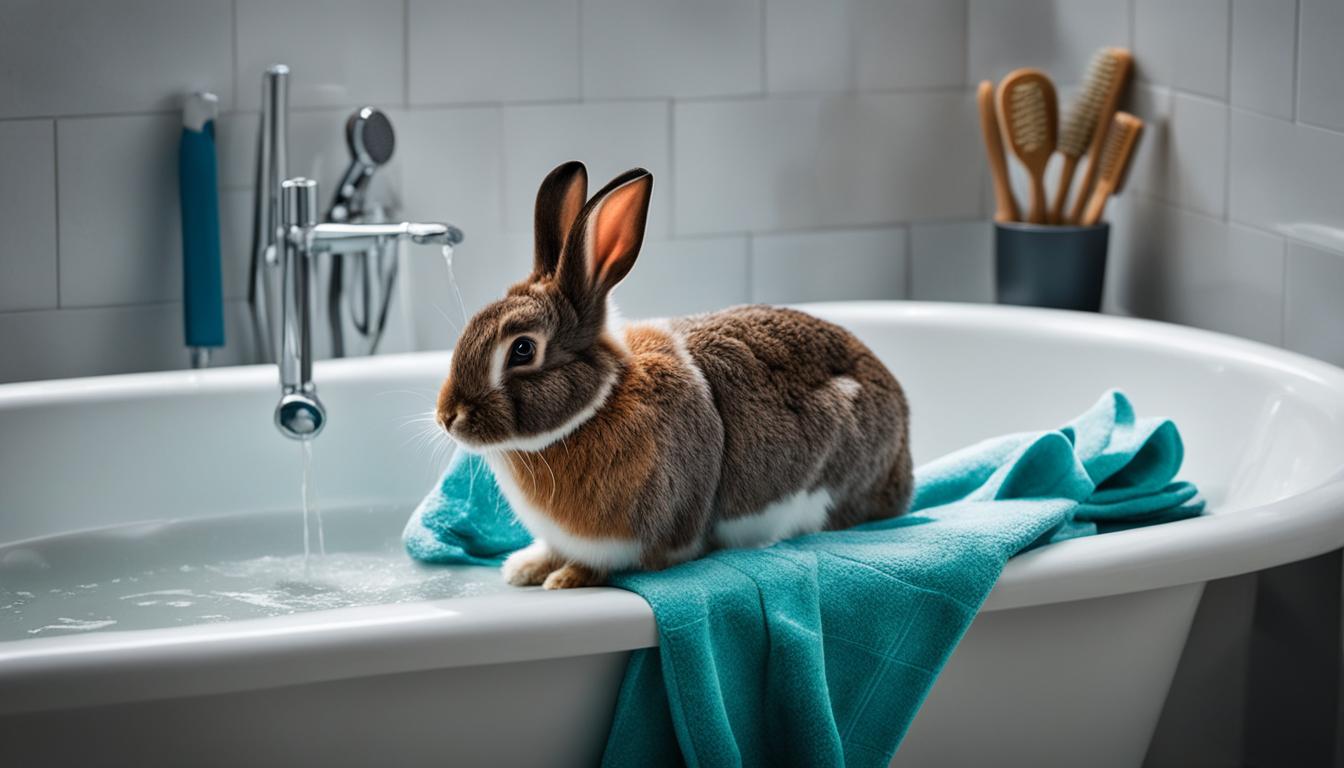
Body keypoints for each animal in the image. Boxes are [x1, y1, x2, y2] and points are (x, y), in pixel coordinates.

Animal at [436, 161, 913, 590]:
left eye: (522, 349)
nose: (447, 417)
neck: (599, 405)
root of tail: (902, 462)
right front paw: (526, 568)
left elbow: (613, 562)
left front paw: (566, 578)